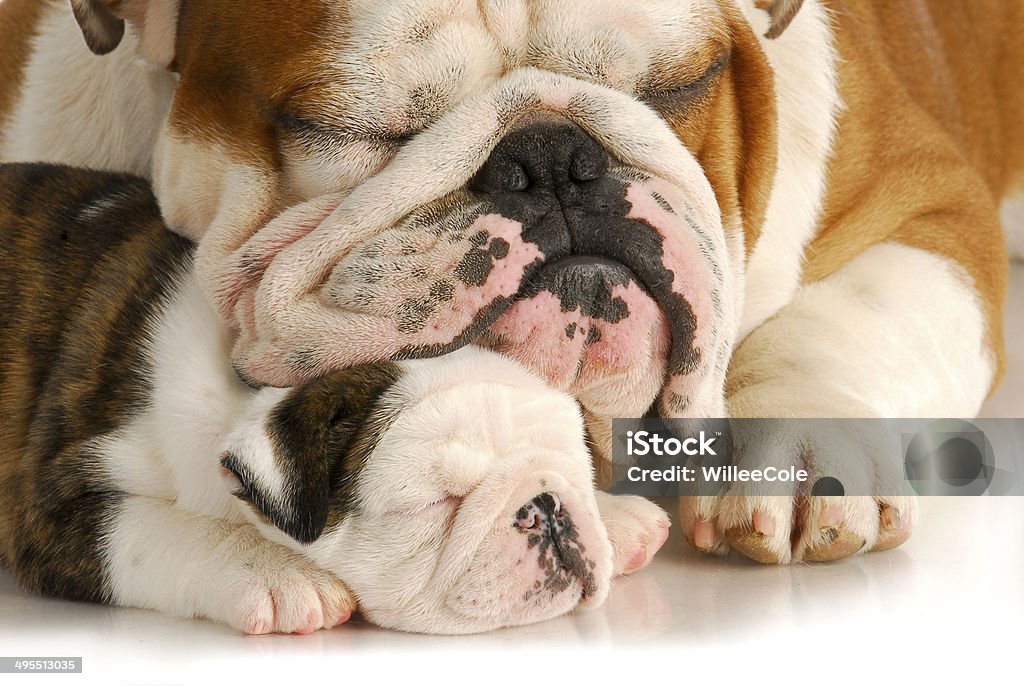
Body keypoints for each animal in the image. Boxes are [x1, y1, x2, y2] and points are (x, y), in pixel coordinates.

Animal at [0, 0, 1015, 565]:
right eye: (342, 127)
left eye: (677, 86)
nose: (554, 159)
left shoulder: (930, 205)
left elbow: (838, 322)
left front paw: (795, 457)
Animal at [0, 163, 671, 638]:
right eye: (436, 503)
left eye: (574, 469)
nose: (547, 508)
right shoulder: (52, 507)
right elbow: (151, 529)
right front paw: (277, 574)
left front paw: (614, 516)